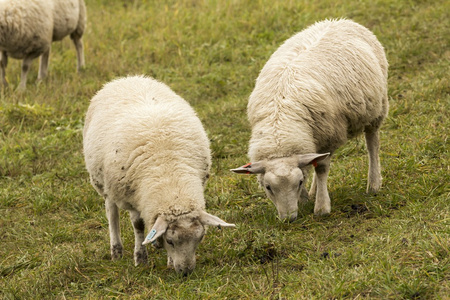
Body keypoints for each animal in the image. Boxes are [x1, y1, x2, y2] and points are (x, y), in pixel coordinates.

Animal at [83, 76, 236, 276]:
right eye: (170, 241)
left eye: (200, 238)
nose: (186, 272)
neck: (170, 176)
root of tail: (128, 78)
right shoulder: (132, 197)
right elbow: (138, 225)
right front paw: (141, 258)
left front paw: (169, 260)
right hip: (104, 184)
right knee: (111, 212)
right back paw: (116, 251)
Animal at [232, 18, 386, 220]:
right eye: (268, 187)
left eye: (298, 182)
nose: (288, 219)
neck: (280, 125)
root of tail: (339, 20)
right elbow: (313, 164)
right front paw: (306, 199)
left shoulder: (329, 135)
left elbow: (321, 168)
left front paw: (321, 207)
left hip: (376, 109)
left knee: (372, 144)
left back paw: (374, 184)